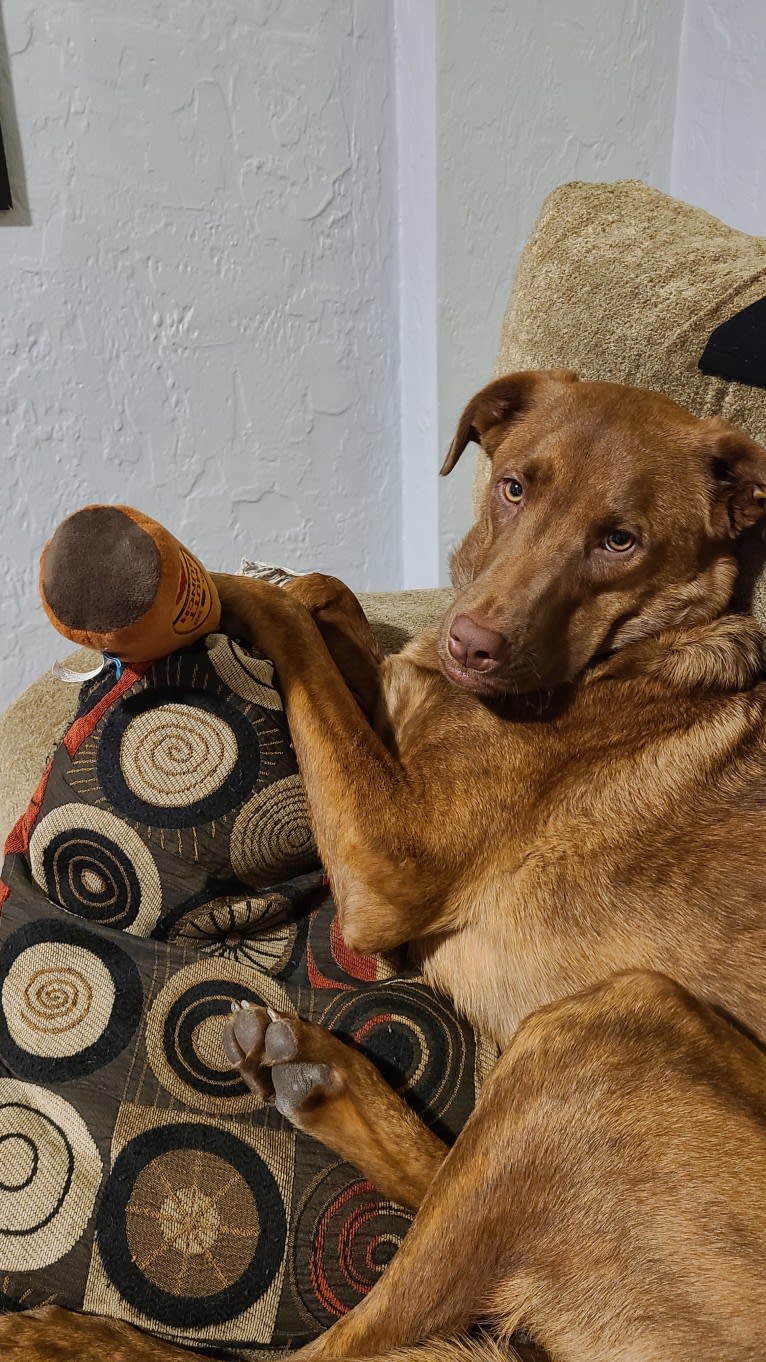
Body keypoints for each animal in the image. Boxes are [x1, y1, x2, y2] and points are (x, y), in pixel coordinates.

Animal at [4, 367, 763, 1356]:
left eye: (620, 540)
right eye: (514, 487)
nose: (472, 644)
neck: (625, 656)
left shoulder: (387, 860)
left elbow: (294, 632)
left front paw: (228, 586)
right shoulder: (392, 729)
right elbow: (339, 620)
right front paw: (307, 587)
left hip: (612, 1029)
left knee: (338, 1345)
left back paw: (62, 1336)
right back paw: (319, 1078)